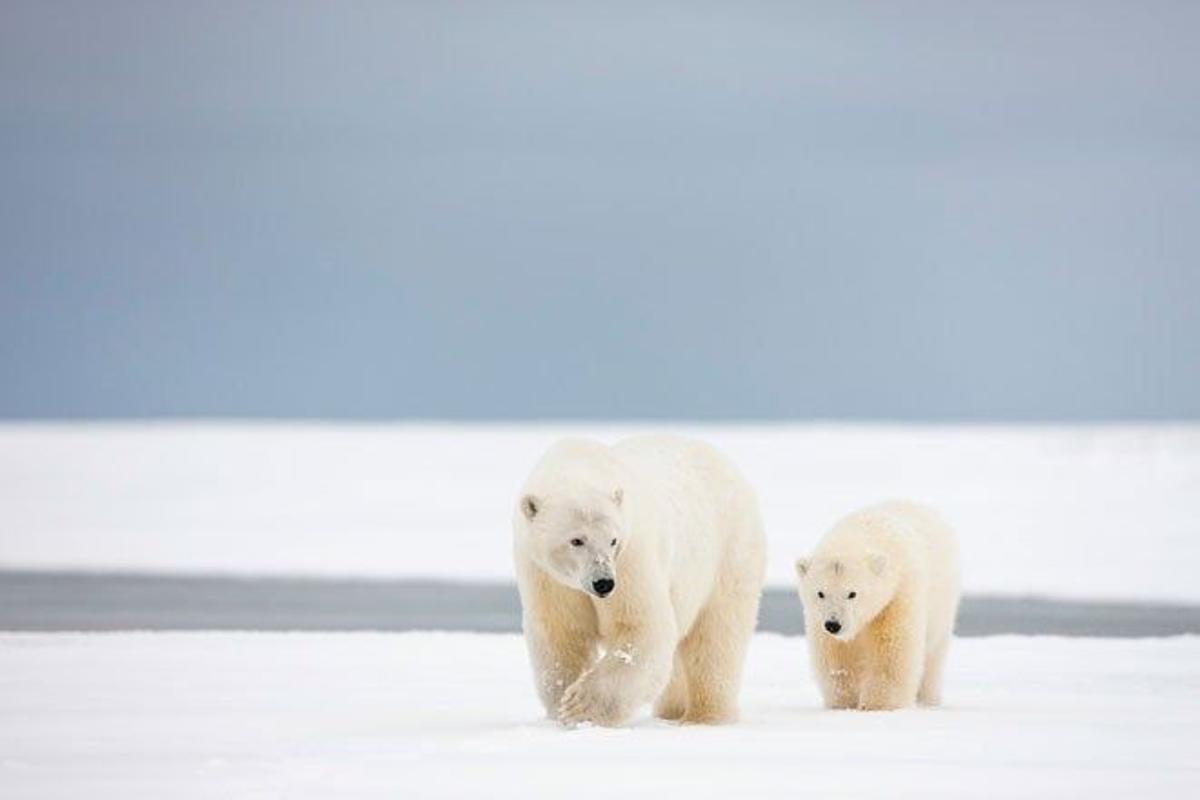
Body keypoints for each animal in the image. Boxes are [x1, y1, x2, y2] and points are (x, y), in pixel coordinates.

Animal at [511, 434, 763, 729]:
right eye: (576, 540)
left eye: (613, 540)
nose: (604, 583)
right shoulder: (545, 576)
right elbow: (560, 635)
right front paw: (561, 708)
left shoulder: (631, 558)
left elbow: (641, 628)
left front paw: (580, 706)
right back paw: (670, 711)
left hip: (728, 552)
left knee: (716, 636)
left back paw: (704, 716)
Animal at [796, 501, 955, 714]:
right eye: (820, 593)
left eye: (852, 593)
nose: (833, 624)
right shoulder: (818, 620)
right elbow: (837, 655)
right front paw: (844, 703)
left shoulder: (897, 596)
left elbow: (892, 650)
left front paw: (877, 705)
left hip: (942, 609)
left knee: (933, 657)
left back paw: (927, 700)